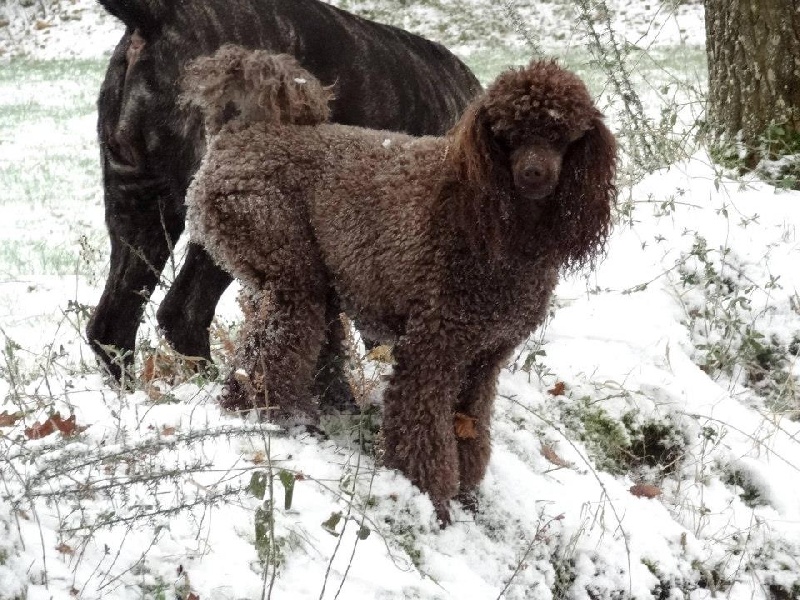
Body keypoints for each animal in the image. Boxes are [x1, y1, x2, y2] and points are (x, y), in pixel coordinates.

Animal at [183, 47, 620, 524]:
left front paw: (467, 495)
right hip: (284, 259)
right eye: (507, 134)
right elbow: (422, 430)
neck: (500, 224)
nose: (534, 174)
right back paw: (262, 414)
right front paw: (431, 500)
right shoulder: (433, 347)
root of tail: (238, 132)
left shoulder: (483, 359)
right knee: (271, 350)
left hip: (314, 276)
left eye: (561, 135)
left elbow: (471, 429)